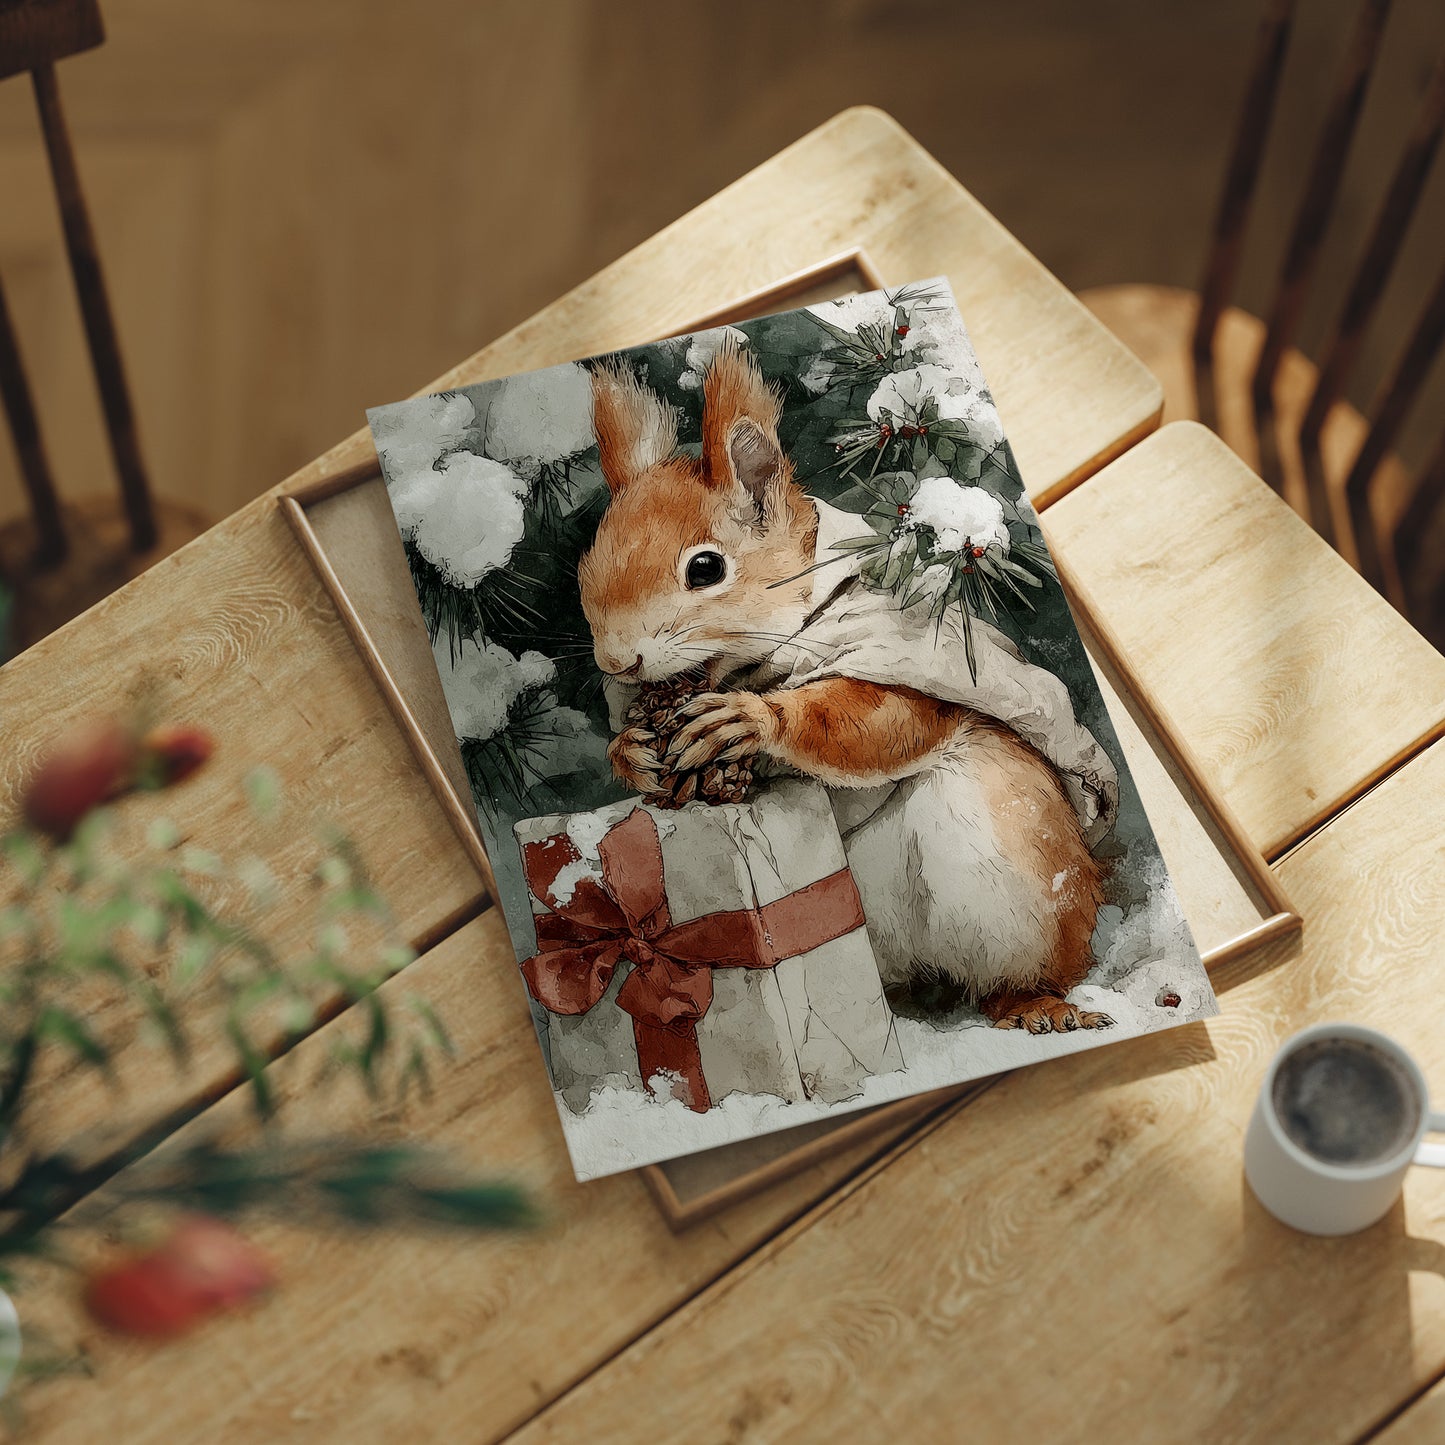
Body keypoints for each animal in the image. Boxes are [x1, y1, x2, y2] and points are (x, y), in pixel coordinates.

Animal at [576, 341, 1108, 1036]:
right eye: (584, 566)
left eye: (706, 568)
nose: (616, 660)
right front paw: (631, 752)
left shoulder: (906, 653)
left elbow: (880, 720)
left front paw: (749, 720)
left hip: (1017, 873)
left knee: (1013, 976)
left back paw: (1034, 1003)